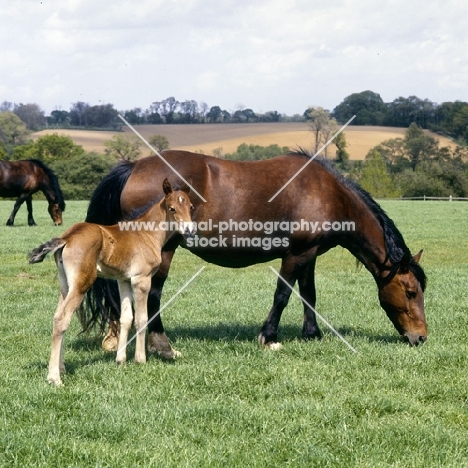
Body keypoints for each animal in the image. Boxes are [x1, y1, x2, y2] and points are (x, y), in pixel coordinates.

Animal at [27, 177, 196, 386]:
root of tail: (67, 237)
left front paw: (120, 360)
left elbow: (126, 318)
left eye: (190, 206)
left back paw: (62, 368)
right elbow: (141, 318)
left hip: (65, 285)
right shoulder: (141, 280)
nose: (190, 230)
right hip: (82, 283)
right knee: (62, 319)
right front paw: (140, 359)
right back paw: (54, 377)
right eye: (172, 208)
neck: (146, 233)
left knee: (57, 315)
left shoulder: (123, 280)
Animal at [81, 151, 428, 358]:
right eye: (411, 292)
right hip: (162, 253)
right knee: (152, 295)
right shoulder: (296, 255)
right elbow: (283, 295)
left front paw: (312, 334)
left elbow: (309, 295)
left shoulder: (310, 255)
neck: (327, 193)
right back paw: (162, 346)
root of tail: (134, 167)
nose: (421, 337)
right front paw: (269, 337)